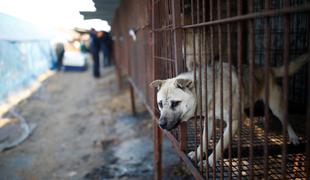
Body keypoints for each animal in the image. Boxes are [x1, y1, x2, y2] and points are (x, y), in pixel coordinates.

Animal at [150, 52, 308, 167]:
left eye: (175, 103)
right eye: (160, 104)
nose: (161, 124)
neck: (209, 90)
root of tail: (267, 68)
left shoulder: (236, 120)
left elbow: (220, 145)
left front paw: (209, 162)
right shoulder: (210, 119)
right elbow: (204, 139)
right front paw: (197, 154)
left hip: (276, 106)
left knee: (285, 120)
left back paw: (294, 137)